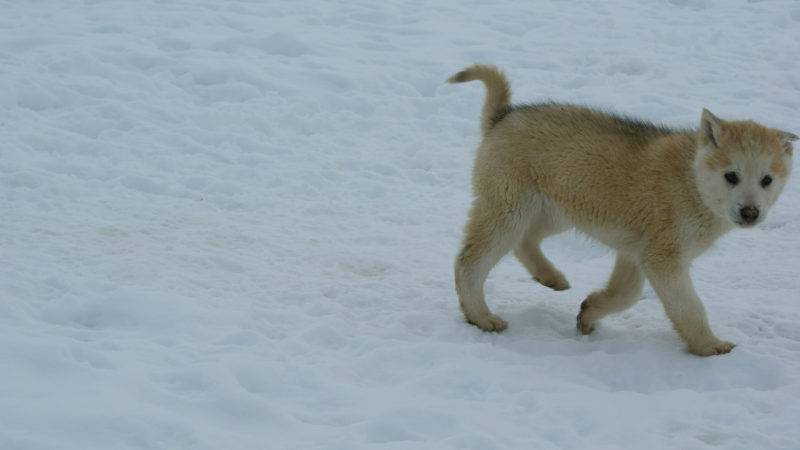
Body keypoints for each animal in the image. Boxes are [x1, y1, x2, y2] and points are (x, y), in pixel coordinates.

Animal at [450, 65, 792, 356]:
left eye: (766, 180)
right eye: (731, 176)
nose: (750, 213)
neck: (692, 181)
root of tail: (502, 116)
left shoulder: (636, 253)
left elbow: (625, 294)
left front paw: (588, 314)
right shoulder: (662, 258)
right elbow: (689, 307)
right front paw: (709, 347)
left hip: (554, 211)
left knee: (524, 243)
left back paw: (551, 277)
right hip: (509, 211)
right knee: (469, 261)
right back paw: (481, 317)